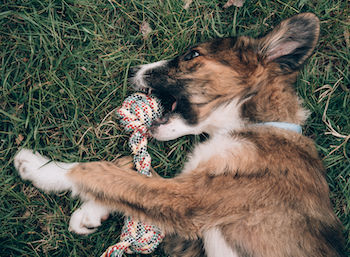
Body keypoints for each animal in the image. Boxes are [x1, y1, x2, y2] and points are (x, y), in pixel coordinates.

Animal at [13, 13, 344, 256]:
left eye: (191, 54)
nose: (132, 69)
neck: (253, 126)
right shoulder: (188, 238)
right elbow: (131, 173)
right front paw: (92, 213)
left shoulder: (194, 200)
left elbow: (102, 173)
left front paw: (43, 168)